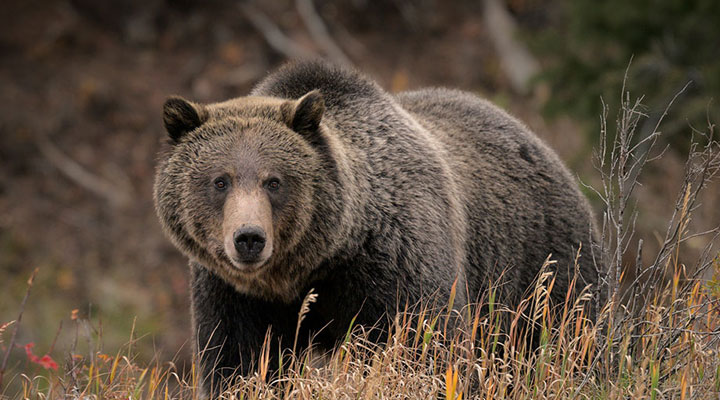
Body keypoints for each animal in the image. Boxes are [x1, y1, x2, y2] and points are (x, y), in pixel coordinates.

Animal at [153, 60, 600, 395]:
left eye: (274, 181)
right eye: (220, 181)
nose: (249, 238)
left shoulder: (396, 263)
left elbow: (423, 349)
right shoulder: (234, 295)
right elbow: (240, 363)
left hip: (542, 266)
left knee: (573, 343)